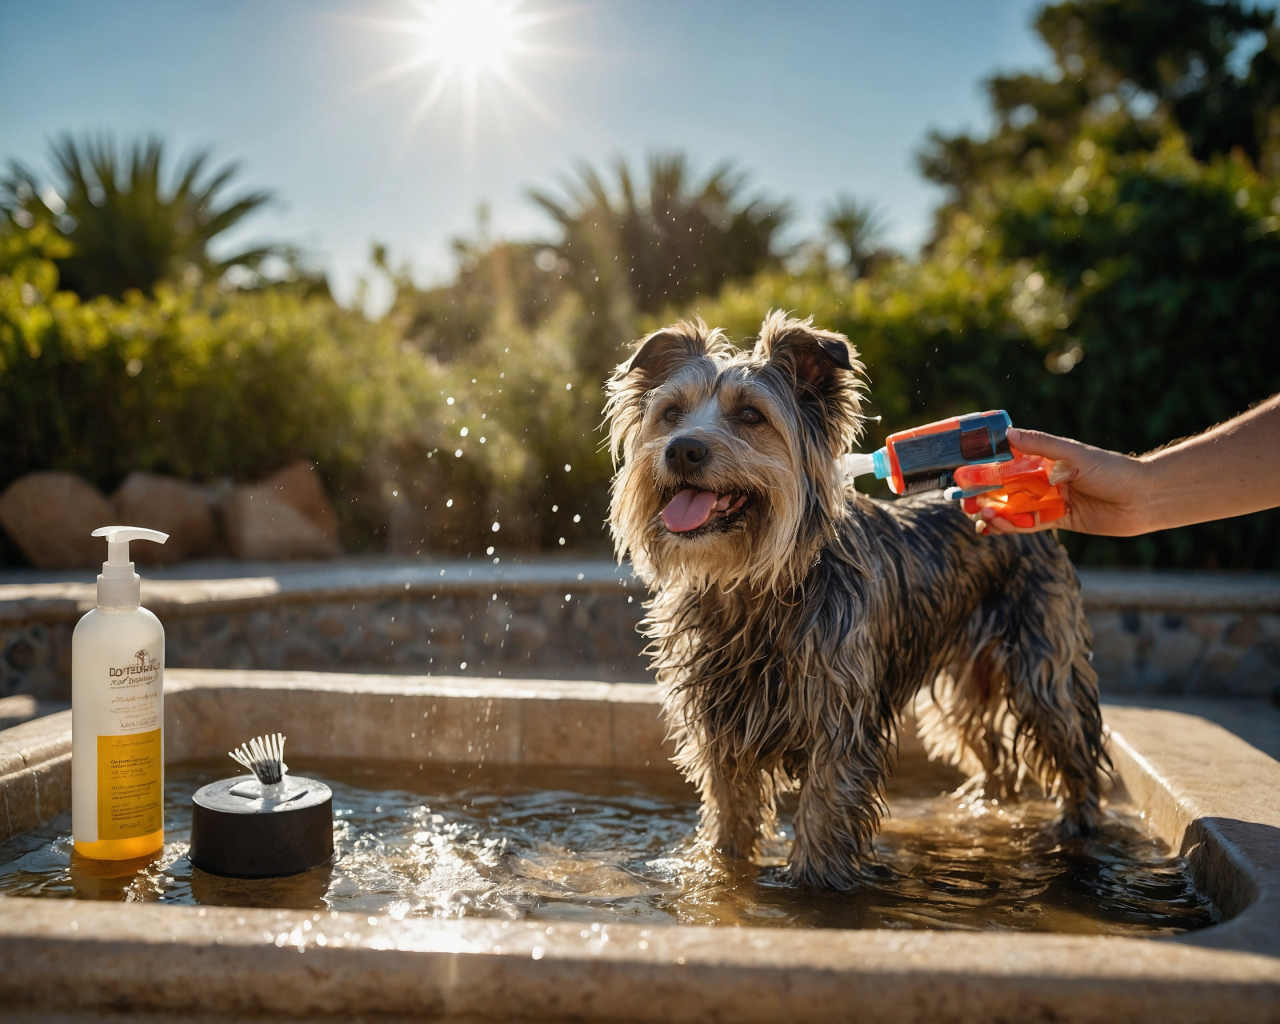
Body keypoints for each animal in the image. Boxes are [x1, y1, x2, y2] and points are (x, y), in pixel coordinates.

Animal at [604, 309, 1105, 885]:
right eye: (671, 413)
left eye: (751, 414)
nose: (682, 448)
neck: (757, 584)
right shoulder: (720, 728)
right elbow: (731, 817)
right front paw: (722, 870)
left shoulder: (838, 720)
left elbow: (823, 815)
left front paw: (809, 882)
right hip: (968, 679)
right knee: (991, 751)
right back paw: (981, 804)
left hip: (1041, 665)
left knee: (1073, 745)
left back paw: (1075, 826)